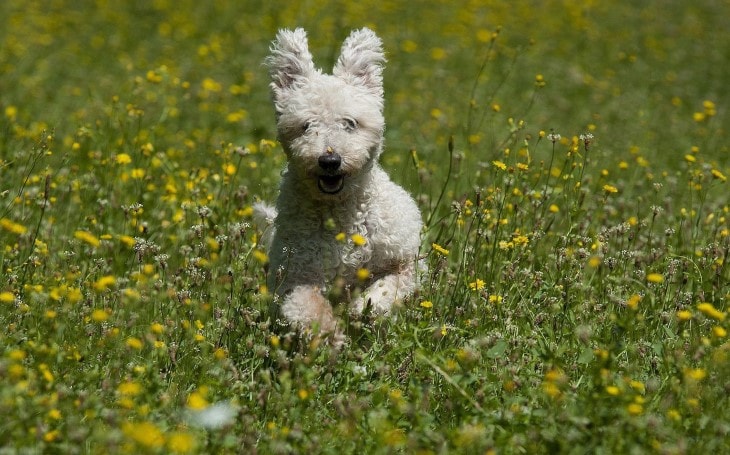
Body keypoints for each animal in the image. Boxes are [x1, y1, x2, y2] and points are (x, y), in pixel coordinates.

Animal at [260, 27, 420, 342]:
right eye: (306, 125)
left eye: (350, 123)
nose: (329, 160)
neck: (340, 211)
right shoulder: (295, 275)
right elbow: (306, 304)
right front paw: (327, 334)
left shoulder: (407, 260)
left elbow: (391, 284)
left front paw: (366, 306)